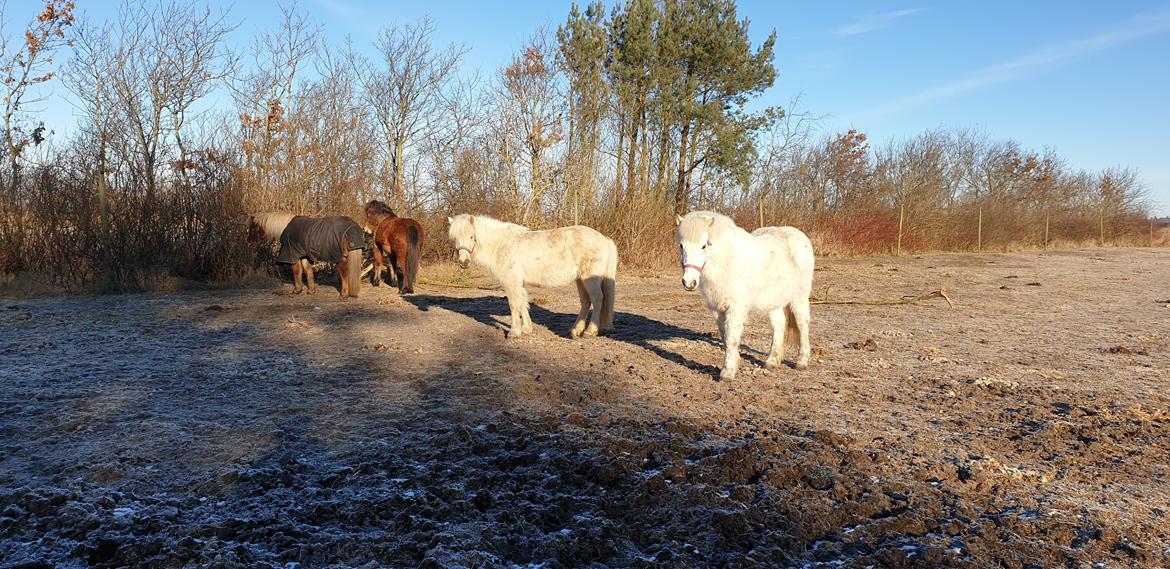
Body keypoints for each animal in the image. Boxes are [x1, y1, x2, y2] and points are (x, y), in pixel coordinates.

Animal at [444, 213, 617, 337]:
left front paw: (514, 332)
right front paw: (527, 329)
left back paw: (590, 331)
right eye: (455, 239)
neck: (502, 245)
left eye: (472, 236)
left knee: (597, 299)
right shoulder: (519, 282)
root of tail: (604, 239)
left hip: (590, 279)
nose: (463, 262)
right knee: (586, 301)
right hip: (581, 280)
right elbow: (523, 303)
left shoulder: (511, 281)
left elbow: (514, 304)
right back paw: (576, 330)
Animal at [678, 210, 814, 379]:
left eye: (704, 246)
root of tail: (800, 236)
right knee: (779, 325)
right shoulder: (717, 308)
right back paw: (771, 361)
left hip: (799, 297)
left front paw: (727, 373)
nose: (689, 282)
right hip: (774, 300)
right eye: (681, 245)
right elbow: (725, 336)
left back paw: (802, 362)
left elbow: (731, 338)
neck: (727, 261)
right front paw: (735, 362)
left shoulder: (736, 307)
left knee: (803, 325)